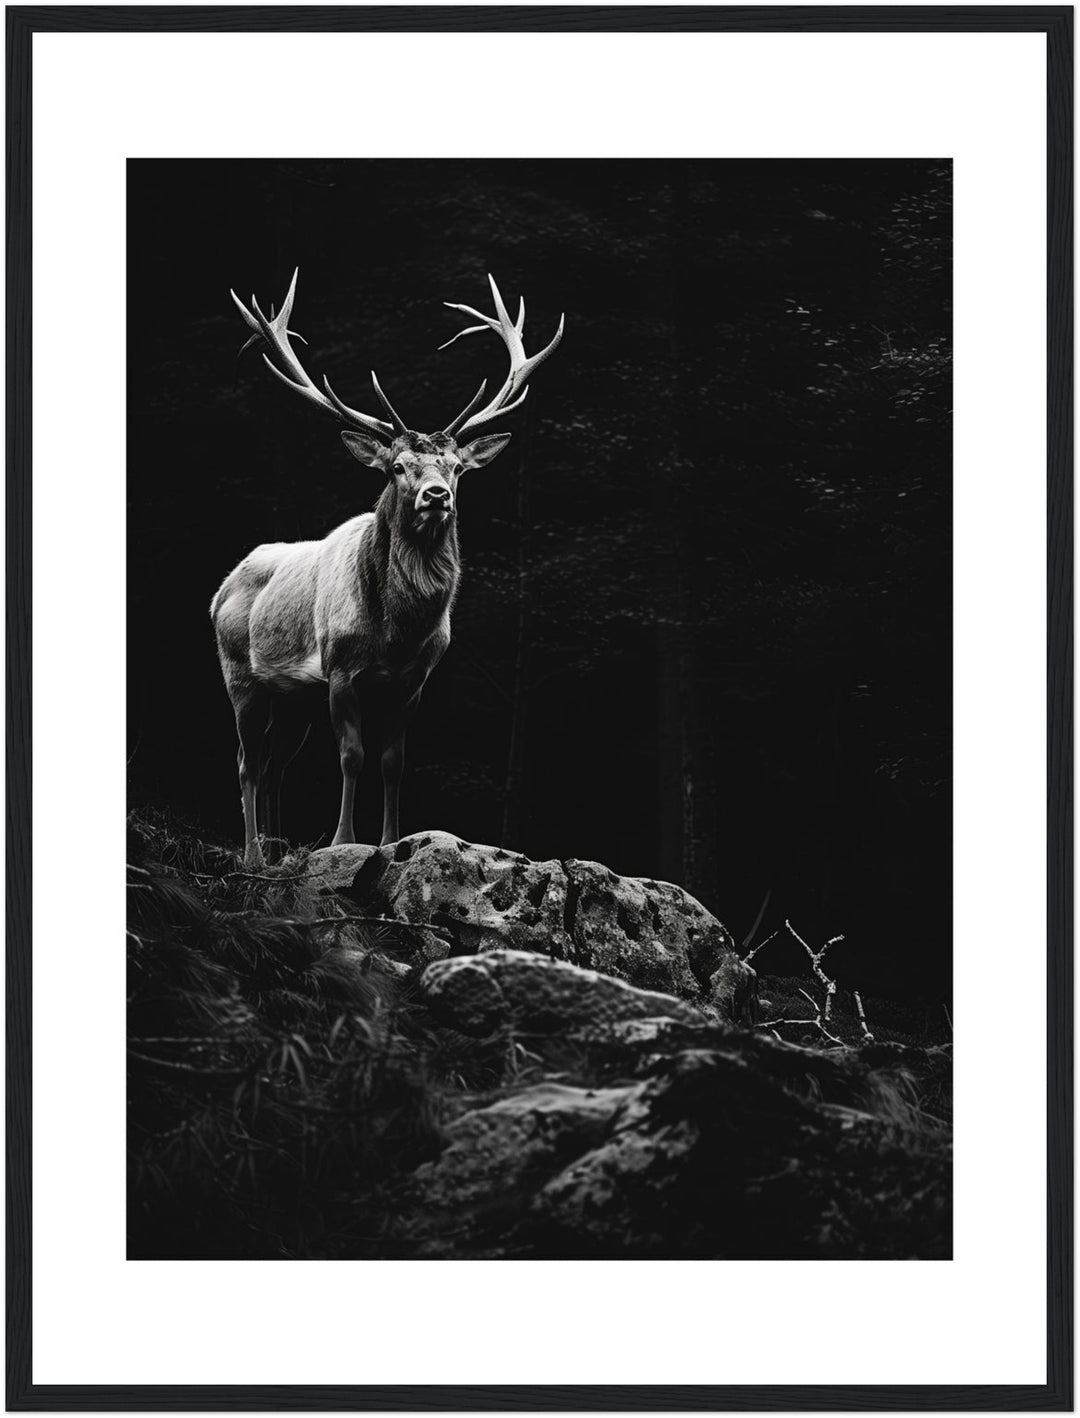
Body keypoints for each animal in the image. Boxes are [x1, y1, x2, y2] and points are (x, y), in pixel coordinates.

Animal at [211, 270, 563, 868]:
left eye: (456, 467)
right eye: (397, 466)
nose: (436, 495)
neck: (396, 632)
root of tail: (219, 589)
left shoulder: (413, 680)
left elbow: (393, 762)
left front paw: (392, 840)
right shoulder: (339, 668)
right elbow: (352, 756)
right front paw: (342, 841)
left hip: (293, 698)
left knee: (275, 766)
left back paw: (279, 855)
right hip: (240, 674)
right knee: (246, 762)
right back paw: (254, 856)